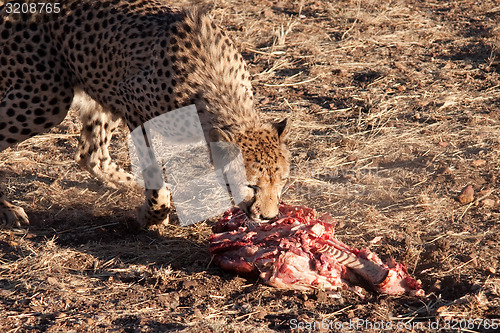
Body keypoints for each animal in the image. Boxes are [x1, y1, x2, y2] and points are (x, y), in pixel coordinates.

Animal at [0, 0, 290, 227]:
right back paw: (8, 210)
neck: (220, 92)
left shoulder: (119, 93)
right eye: (251, 184)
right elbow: (152, 171)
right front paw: (153, 215)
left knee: (90, 155)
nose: (269, 217)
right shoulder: (131, 102)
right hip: (46, 99)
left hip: (98, 86)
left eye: (282, 181)